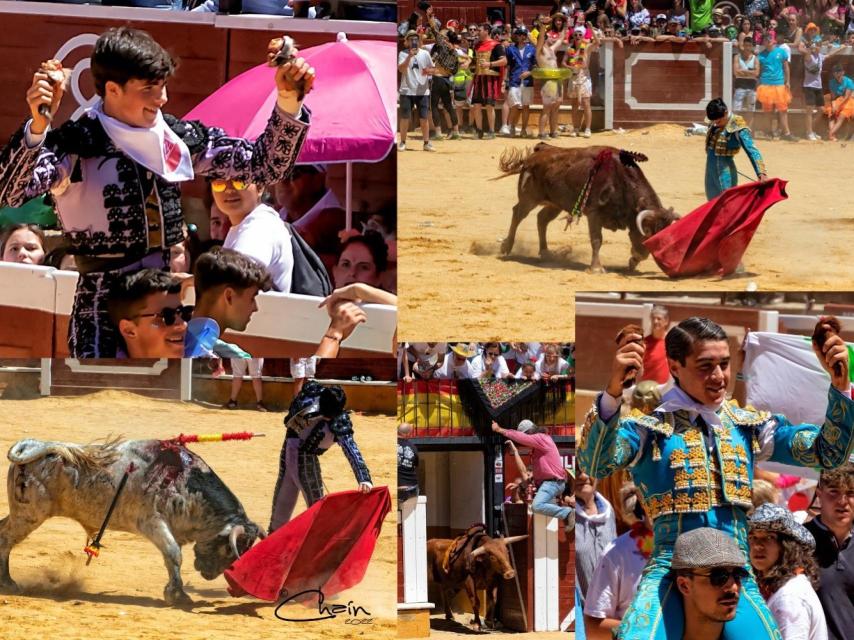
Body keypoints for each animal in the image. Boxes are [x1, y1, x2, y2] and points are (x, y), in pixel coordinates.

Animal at [494, 144, 684, 274]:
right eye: (647, 231)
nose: (640, 255)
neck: (620, 180)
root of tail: (537, 152)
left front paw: (633, 260)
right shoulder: (594, 214)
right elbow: (597, 240)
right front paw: (597, 268)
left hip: (555, 204)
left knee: (541, 219)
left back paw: (546, 252)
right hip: (529, 198)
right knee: (518, 214)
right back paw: (506, 247)